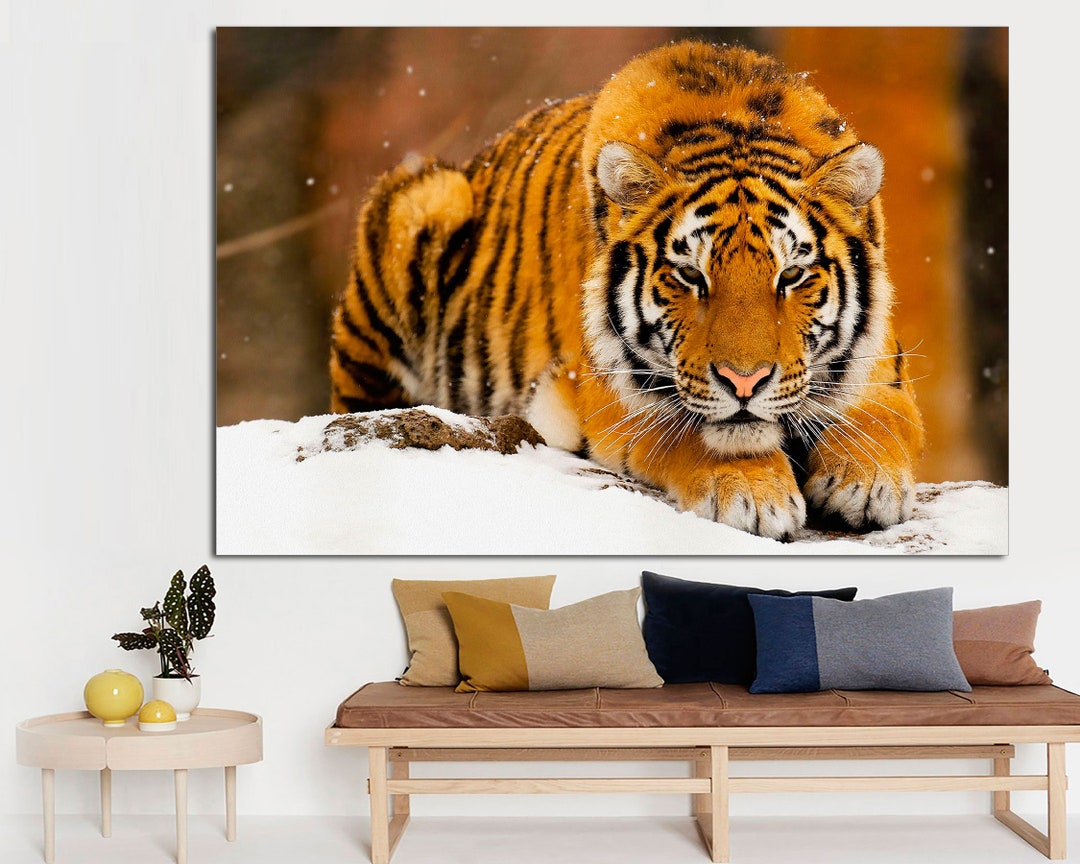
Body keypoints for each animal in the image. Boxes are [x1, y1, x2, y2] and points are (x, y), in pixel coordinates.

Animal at [329, 39, 925, 540]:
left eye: (791, 276)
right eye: (691, 275)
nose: (744, 382)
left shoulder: (882, 366)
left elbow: (879, 417)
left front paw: (865, 482)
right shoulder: (605, 388)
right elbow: (687, 428)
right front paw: (752, 493)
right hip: (422, 201)